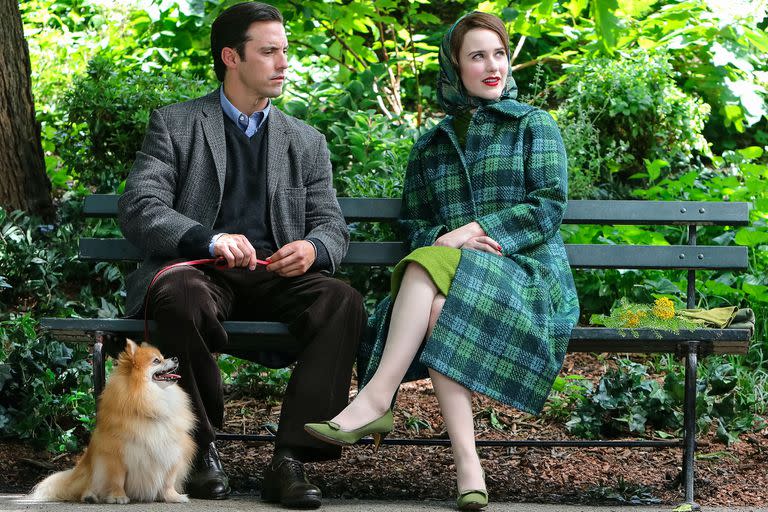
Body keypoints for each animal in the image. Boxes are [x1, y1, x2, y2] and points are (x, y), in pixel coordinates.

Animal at [31, 340, 195, 504]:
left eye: (162, 357)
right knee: (86, 487)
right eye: (156, 361)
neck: (148, 405)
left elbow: (168, 481)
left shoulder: (172, 453)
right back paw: (90, 496)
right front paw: (118, 496)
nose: (175, 358)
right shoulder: (115, 456)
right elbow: (116, 480)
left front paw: (173, 497)